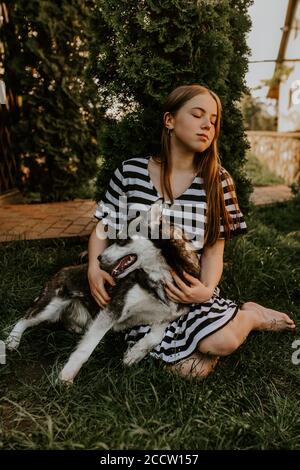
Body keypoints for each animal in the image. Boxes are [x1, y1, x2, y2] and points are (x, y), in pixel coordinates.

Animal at [4, 201, 200, 382]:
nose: (98, 258)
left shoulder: (170, 314)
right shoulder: (114, 308)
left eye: (122, 240)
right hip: (50, 305)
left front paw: (134, 353)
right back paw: (12, 341)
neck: (159, 276)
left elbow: (156, 337)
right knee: (24, 318)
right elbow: (86, 348)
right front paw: (67, 375)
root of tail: (62, 270)